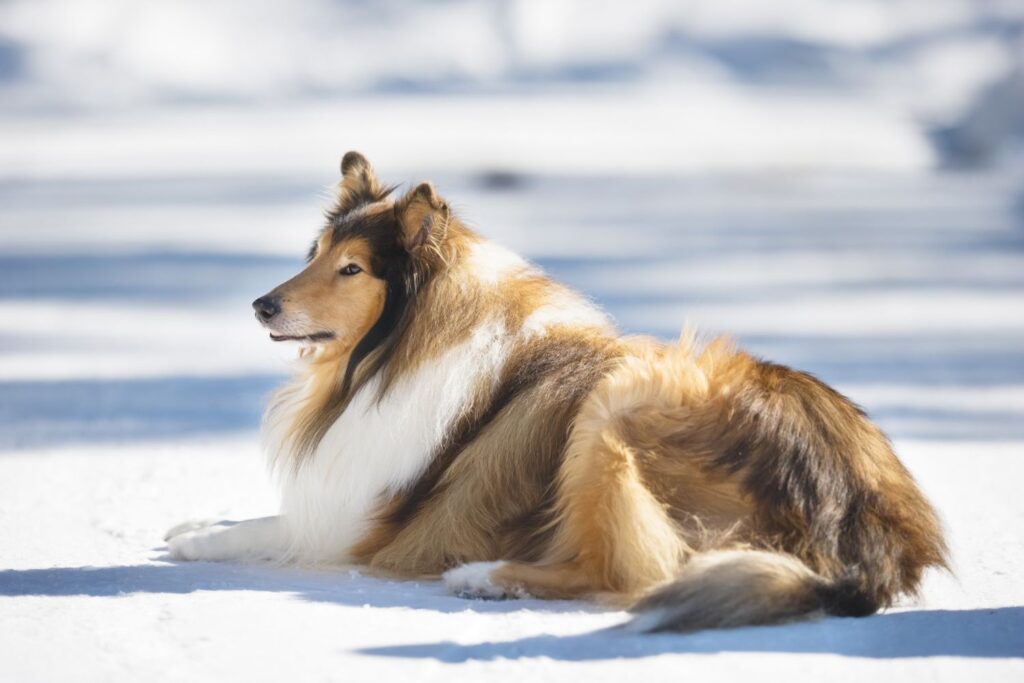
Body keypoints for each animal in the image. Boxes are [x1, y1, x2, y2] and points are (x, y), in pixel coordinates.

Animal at [165, 152, 942, 634]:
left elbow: (271, 526)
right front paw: (192, 520)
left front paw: (196, 535)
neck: (394, 350)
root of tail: (860, 525)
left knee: (628, 570)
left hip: (613, 411)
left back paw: (484, 576)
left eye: (352, 268)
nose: (262, 305)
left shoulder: (351, 521)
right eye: (317, 254)